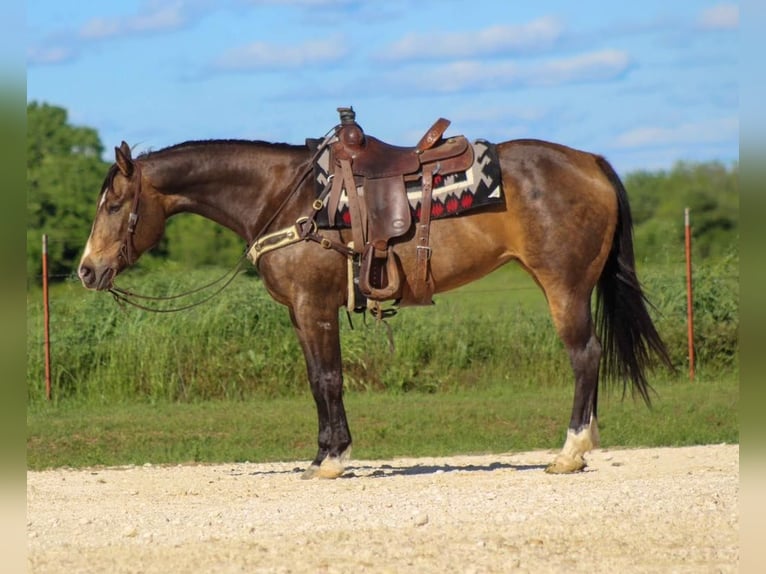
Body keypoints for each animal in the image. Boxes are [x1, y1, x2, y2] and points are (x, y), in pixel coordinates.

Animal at [79, 110, 672, 480]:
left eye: (115, 204)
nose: (87, 270)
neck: (286, 197)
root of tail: (590, 161)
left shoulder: (314, 307)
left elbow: (327, 378)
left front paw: (331, 460)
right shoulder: (303, 314)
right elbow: (319, 379)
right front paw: (325, 452)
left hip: (564, 287)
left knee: (585, 356)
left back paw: (570, 453)